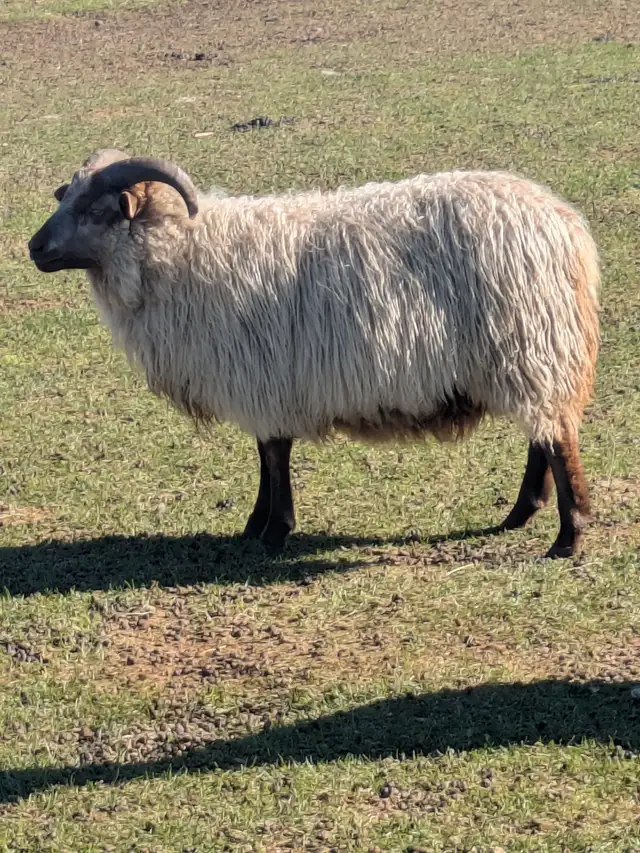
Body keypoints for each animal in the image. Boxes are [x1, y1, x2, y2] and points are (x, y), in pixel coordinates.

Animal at [28, 149, 600, 558]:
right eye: (65, 197)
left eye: (94, 209)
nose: (33, 248)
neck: (181, 253)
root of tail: (564, 223)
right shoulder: (265, 382)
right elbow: (267, 453)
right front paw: (255, 525)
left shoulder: (266, 377)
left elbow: (274, 453)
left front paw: (273, 529)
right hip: (532, 352)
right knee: (543, 434)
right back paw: (519, 516)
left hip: (530, 342)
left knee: (557, 439)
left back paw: (567, 539)